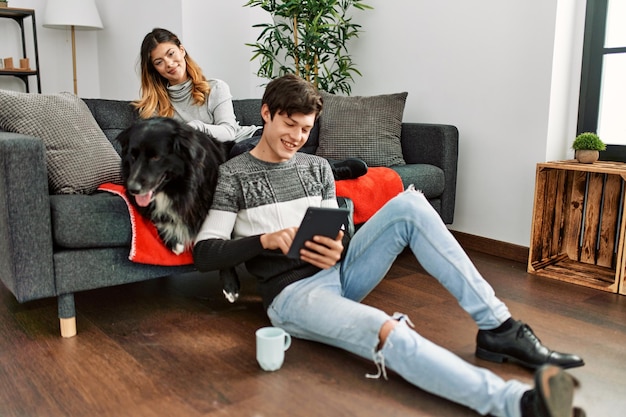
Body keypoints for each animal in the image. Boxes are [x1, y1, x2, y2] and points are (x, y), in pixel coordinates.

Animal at [116, 115, 240, 300]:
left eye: (156, 157)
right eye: (132, 156)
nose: (132, 189)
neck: (176, 188)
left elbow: (222, 240)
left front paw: (230, 286)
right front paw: (175, 242)